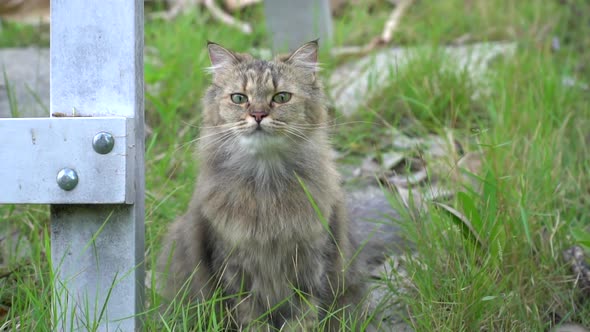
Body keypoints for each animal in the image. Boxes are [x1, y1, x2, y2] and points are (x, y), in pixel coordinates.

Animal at [157, 39, 366, 330]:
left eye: (281, 97)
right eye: (239, 98)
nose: (258, 114)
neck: (266, 185)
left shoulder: (311, 264)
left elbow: (304, 317)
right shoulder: (234, 268)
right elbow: (251, 318)